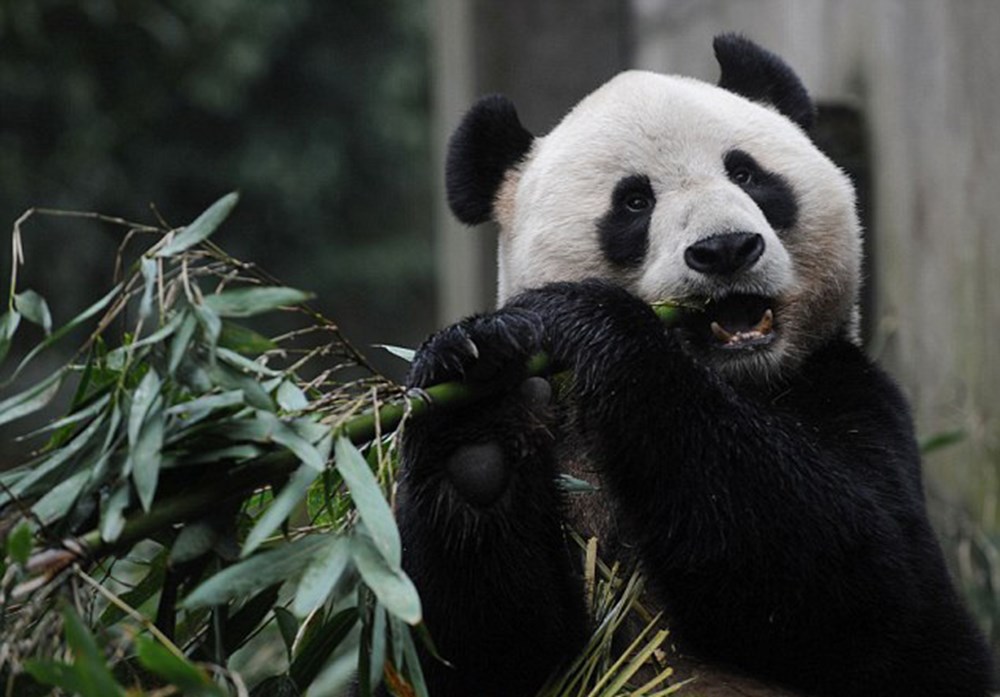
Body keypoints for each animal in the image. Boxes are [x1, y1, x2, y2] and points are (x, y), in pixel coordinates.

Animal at [394, 34, 996, 696]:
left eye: (747, 173)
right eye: (634, 201)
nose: (726, 248)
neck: (739, 380)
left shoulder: (850, 392)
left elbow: (880, 589)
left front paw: (588, 317)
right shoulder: (565, 449)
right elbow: (481, 647)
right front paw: (474, 409)